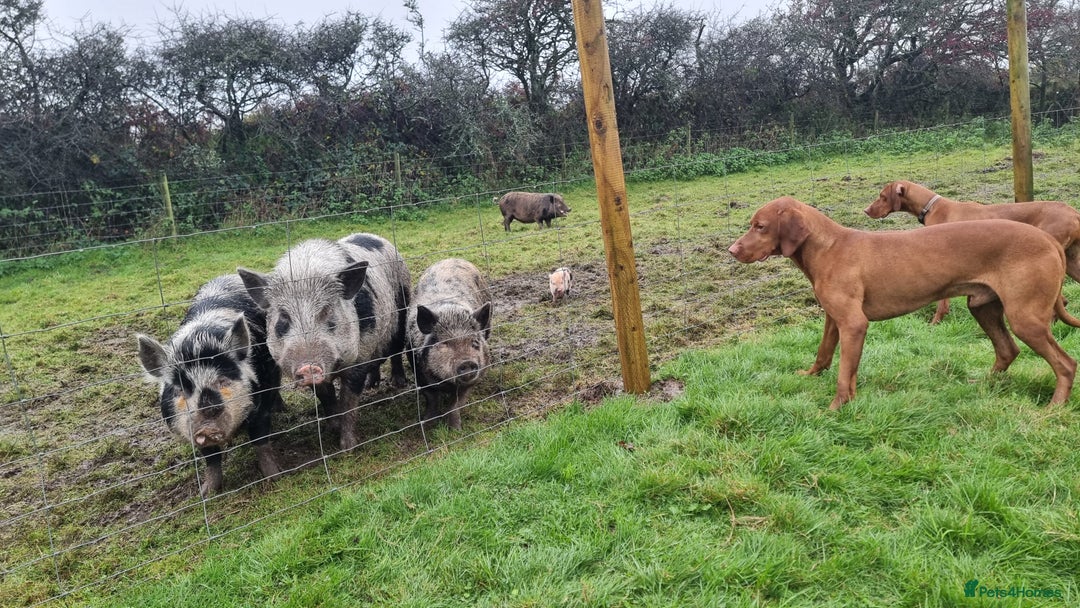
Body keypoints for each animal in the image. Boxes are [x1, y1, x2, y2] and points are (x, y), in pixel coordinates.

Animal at [136, 274, 283, 497]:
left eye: (222, 381)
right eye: (180, 389)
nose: (206, 427)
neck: (196, 344)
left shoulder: (262, 399)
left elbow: (260, 440)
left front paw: (276, 477)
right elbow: (210, 459)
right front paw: (206, 493)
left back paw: (282, 409)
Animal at [237, 233, 411, 451]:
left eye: (327, 311)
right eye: (283, 317)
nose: (308, 367)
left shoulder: (359, 356)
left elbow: (348, 401)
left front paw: (347, 448)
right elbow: (326, 396)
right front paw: (332, 428)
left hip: (402, 304)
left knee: (396, 349)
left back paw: (398, 383)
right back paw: (372, 385)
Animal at [407, 258, 493, 430]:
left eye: (474, 342)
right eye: (445, 343)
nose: (467, 362)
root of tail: (454, 258)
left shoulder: (478, 374)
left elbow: (456, 403)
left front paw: (455, 430)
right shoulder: (416, 368)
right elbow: (431, 397)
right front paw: (426, 424)